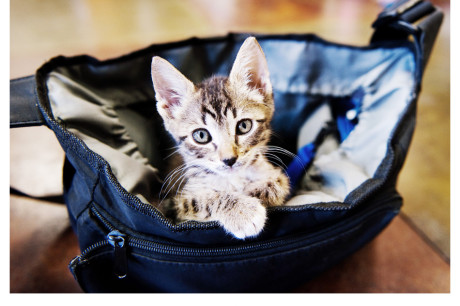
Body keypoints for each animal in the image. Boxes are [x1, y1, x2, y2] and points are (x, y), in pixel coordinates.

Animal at [149, 37, 290, 239]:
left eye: (244, 126)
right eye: (201, 135)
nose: (229, 160)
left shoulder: (276, 174)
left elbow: (278, 183)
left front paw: (252, 193)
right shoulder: (173, 204)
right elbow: (201, 200)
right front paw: (243, 211)